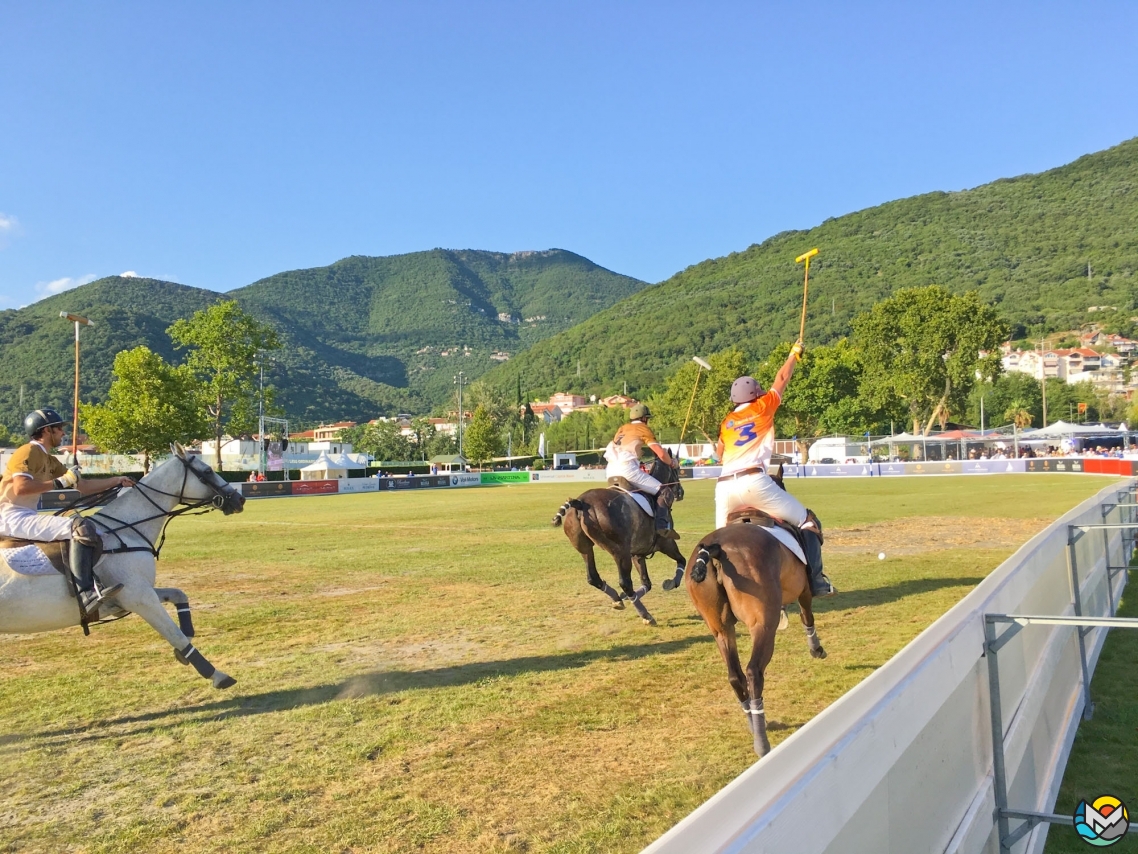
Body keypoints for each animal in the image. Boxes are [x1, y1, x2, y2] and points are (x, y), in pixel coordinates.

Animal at [0, 444, 246, 692]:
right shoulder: (139, 597)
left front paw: (187, 639)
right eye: (207, 471)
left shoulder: (136, 593)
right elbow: (176, 635)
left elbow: (179, 595)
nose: (240, 499)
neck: (127, 530)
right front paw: (217, 675)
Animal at [550, 457, 682, 623]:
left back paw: (617, 599)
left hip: (584, 547)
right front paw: (671, 583)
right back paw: (646, 615)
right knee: (625, 582)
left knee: (593, 577)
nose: (681, 492)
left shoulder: (637, 552)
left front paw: (626, 597)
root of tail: (581, 502)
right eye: (676, 469)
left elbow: (646, 582)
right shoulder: (665, 543)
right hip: (619, 551)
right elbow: (681, 561)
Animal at [682, 505, 828, 760]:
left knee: (735, 675)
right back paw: (762, 741)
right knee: (753, 671)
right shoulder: (804, 590)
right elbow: (807, 616)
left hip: (720, 629)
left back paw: (752, 721)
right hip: (763, 625)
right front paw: (816, 649)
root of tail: (715, 549)